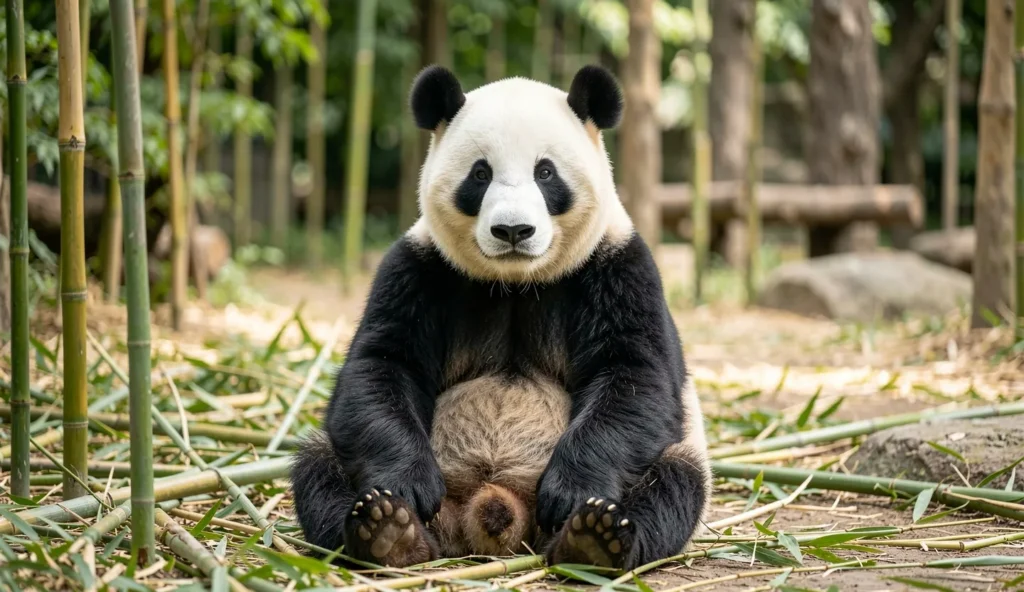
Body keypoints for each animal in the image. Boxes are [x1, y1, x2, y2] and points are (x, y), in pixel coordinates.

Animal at [290, 63, 712, 571]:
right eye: (480, 173)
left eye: (546, 172)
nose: (514, 230)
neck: (515, 281)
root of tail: (493, 507)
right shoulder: (419, 269)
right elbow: (383, 366)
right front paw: (408, 485)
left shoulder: (619, 268)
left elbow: (634, 376)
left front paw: (572, 493)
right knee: (318, 465)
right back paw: (390, 532)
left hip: (679, 456)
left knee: (675, 481)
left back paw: (594, 538)